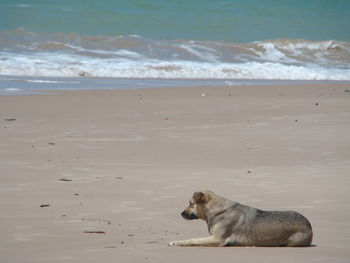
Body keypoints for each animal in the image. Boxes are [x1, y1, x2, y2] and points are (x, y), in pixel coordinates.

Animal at [168, 192, 314, 248]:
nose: (181, 213)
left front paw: (176, 242)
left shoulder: (217, 240)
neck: (217, 210)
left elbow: (192, 240)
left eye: (191, 203)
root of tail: (309, 225)